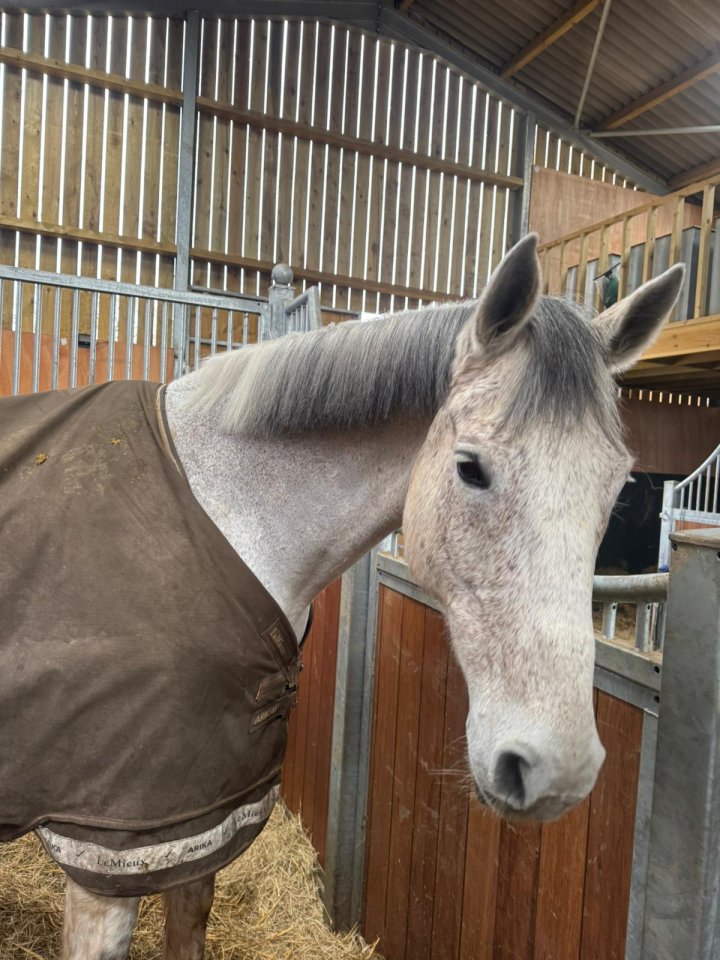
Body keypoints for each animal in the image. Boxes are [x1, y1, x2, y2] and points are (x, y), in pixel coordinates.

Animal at [0, 234, 683, 959]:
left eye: (618, 484)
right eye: (471, 468)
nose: (559, 770)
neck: (225, 511)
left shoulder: (200, 818)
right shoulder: (109, 850)